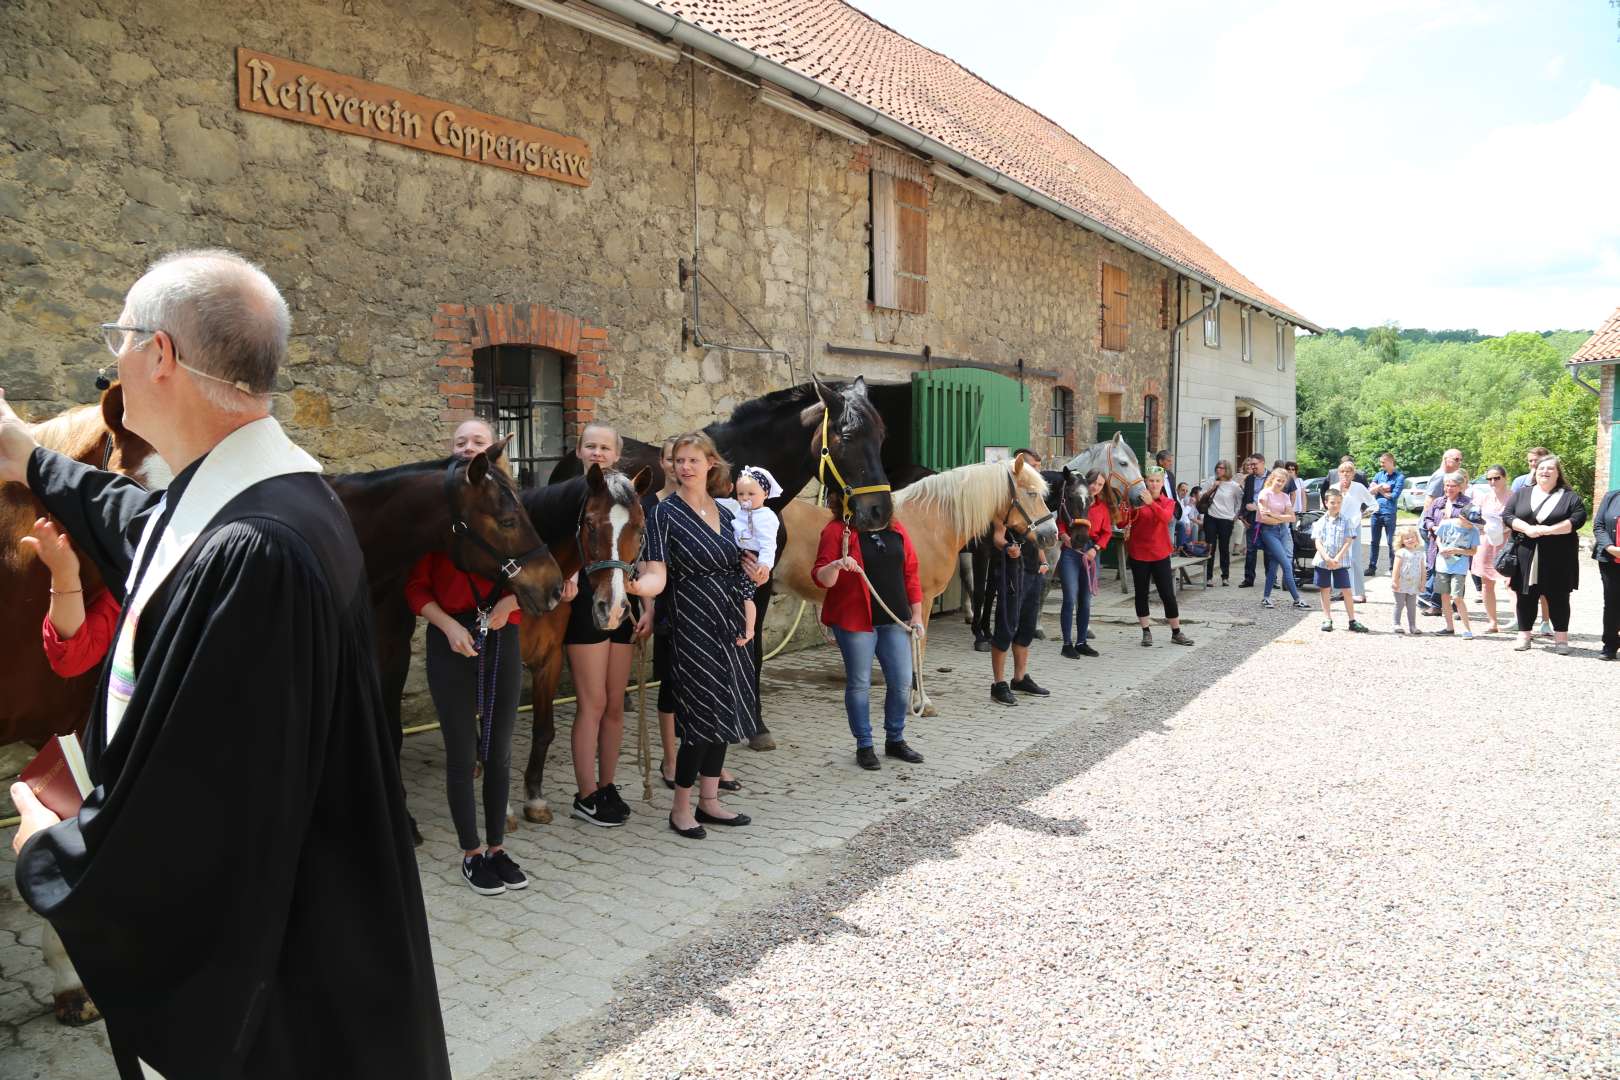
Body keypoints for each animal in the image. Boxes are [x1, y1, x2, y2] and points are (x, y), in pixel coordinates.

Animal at [515, 466, 648, 829]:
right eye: (589, 523)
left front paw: (534, 799)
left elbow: (543, 730)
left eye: (639, 527)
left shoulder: (548, 658)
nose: (612, 609)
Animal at [777, 453, 1056, 718]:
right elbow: (918, 646)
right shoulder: (923, 598)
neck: (929, 523)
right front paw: (921, 701)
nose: (1051, 534)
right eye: (1032, 493)